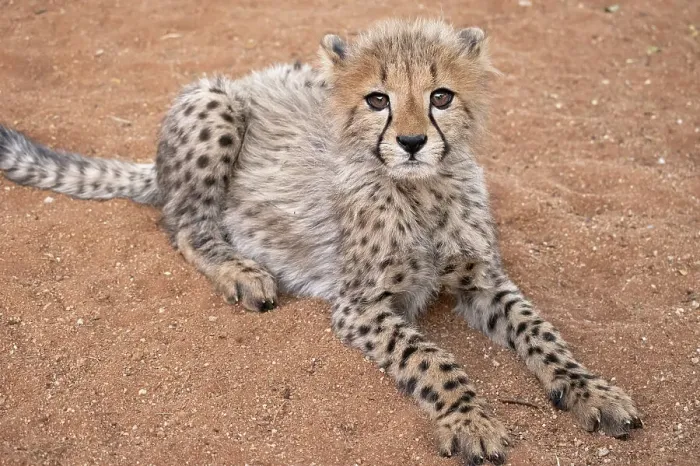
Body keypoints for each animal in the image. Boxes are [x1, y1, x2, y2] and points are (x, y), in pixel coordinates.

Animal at [0, 19, 642, 465]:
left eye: (441, 96)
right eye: (378, 99)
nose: (411, 142)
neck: (421, 191)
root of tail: (245, 79)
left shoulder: (481, 278)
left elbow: (542, 332)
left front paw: (592, 390)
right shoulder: (360, 305)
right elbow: (433, 358)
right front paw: (469, 420)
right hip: (213, 101)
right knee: (185, 223)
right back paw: (241, 271)